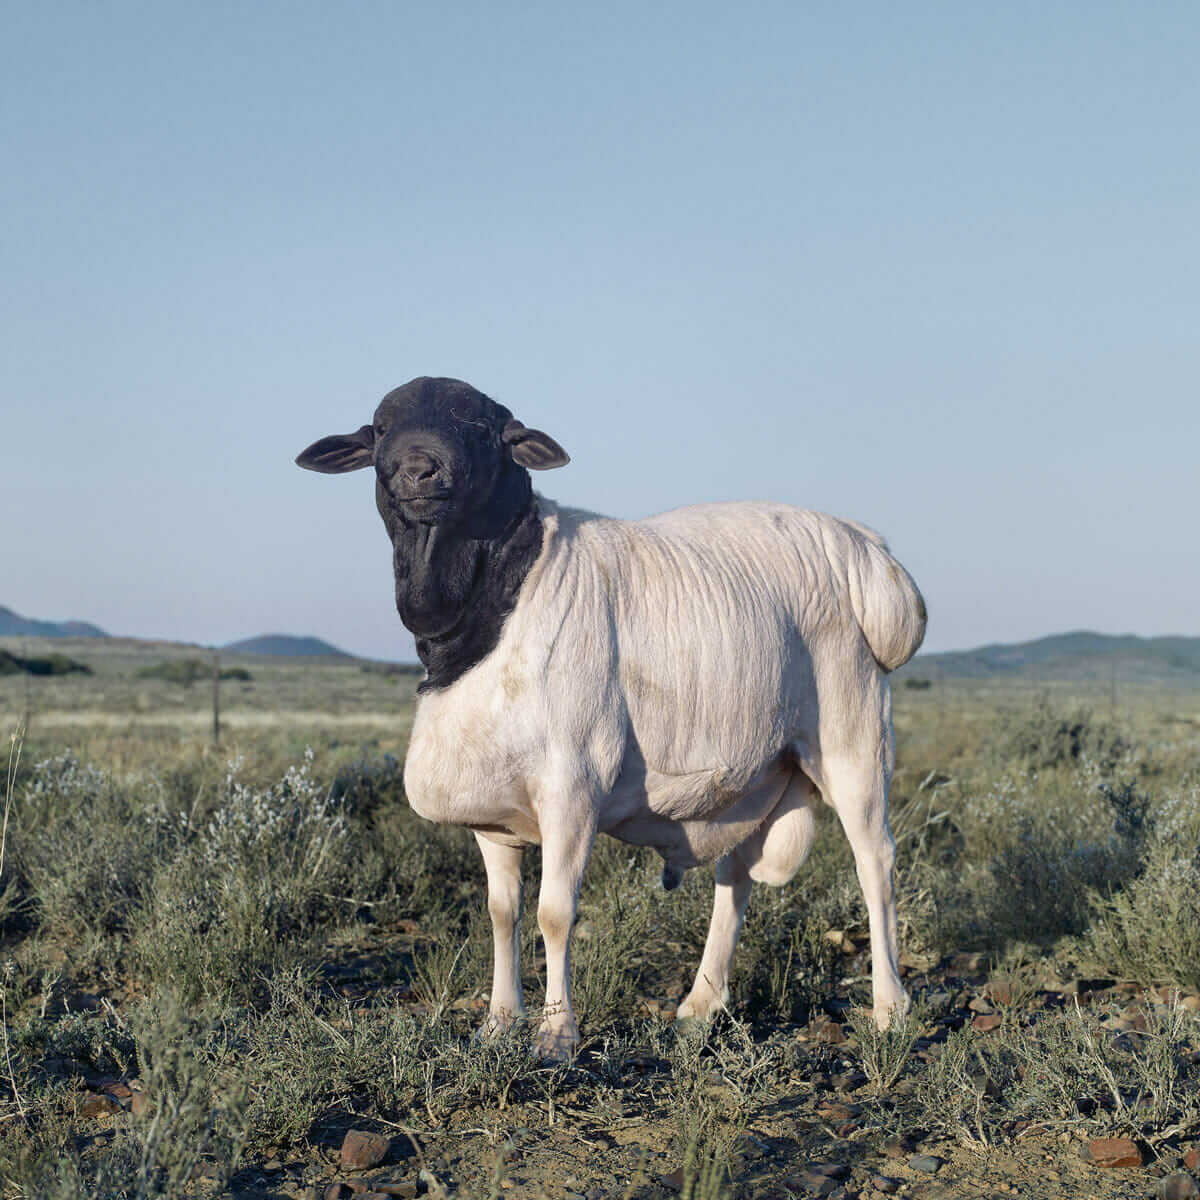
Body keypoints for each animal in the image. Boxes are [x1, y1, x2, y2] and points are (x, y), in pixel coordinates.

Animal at [297, 374, 926, 1060]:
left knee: (875, 862)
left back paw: (890, 1009)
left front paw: (556, 1033)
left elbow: (554, 912)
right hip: (754, 768)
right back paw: (701, 1005)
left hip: (852, 735)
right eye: (382, 428)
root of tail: (868, 552)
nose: (418, 470)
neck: (497, 599)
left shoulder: (572, 786)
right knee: (735, 875)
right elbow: (500, 911)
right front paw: (499, 1022)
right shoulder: (492, 814)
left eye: (482, 429)